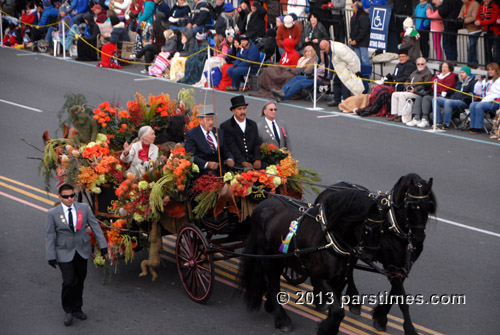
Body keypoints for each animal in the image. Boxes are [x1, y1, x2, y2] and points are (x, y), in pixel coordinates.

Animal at [238, 190, 386, 334]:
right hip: (267, 257)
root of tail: (261, 205)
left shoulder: (340, 280)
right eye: (368, 229)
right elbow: (338, 311)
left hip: (280, 258)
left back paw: (270, 305)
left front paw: (328, 326)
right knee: (272, 283)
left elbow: (336, 310)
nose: (373, 255)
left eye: (383, 228)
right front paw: (326, 329)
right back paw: (282, 320)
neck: (329, 240)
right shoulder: (320, 278)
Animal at [316, 175, 438, 334]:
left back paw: (352, 299)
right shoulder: (391, 264)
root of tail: (331, 188)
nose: (418, 238)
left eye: (428, 206)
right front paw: (408, 328)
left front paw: (381, 316)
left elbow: (395, 293)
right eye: (411, 206)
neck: (394, 227)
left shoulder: (402, 267)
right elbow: (402, 298)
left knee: (349, 269)